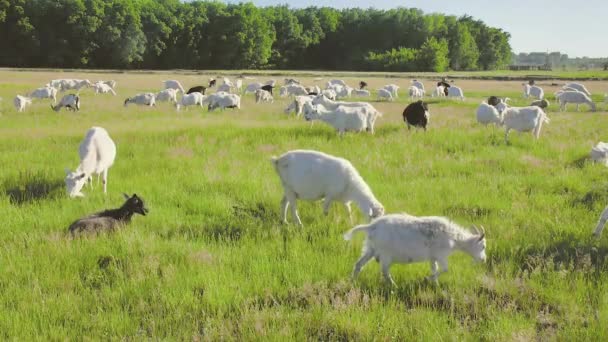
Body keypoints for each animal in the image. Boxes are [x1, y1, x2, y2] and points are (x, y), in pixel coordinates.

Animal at [344, 214, 486, 286]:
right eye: (483, 246)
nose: (483, 260)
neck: (453, 237)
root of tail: (372, 226)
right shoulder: (441, 256)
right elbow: (445, 269)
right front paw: (427, 279)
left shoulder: (433, 257)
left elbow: (434, 269)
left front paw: (435, 284)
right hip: (386, 255)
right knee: (384, 271)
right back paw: (394, 286)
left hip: (370, 249)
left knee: (359, 264)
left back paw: (353, 281)